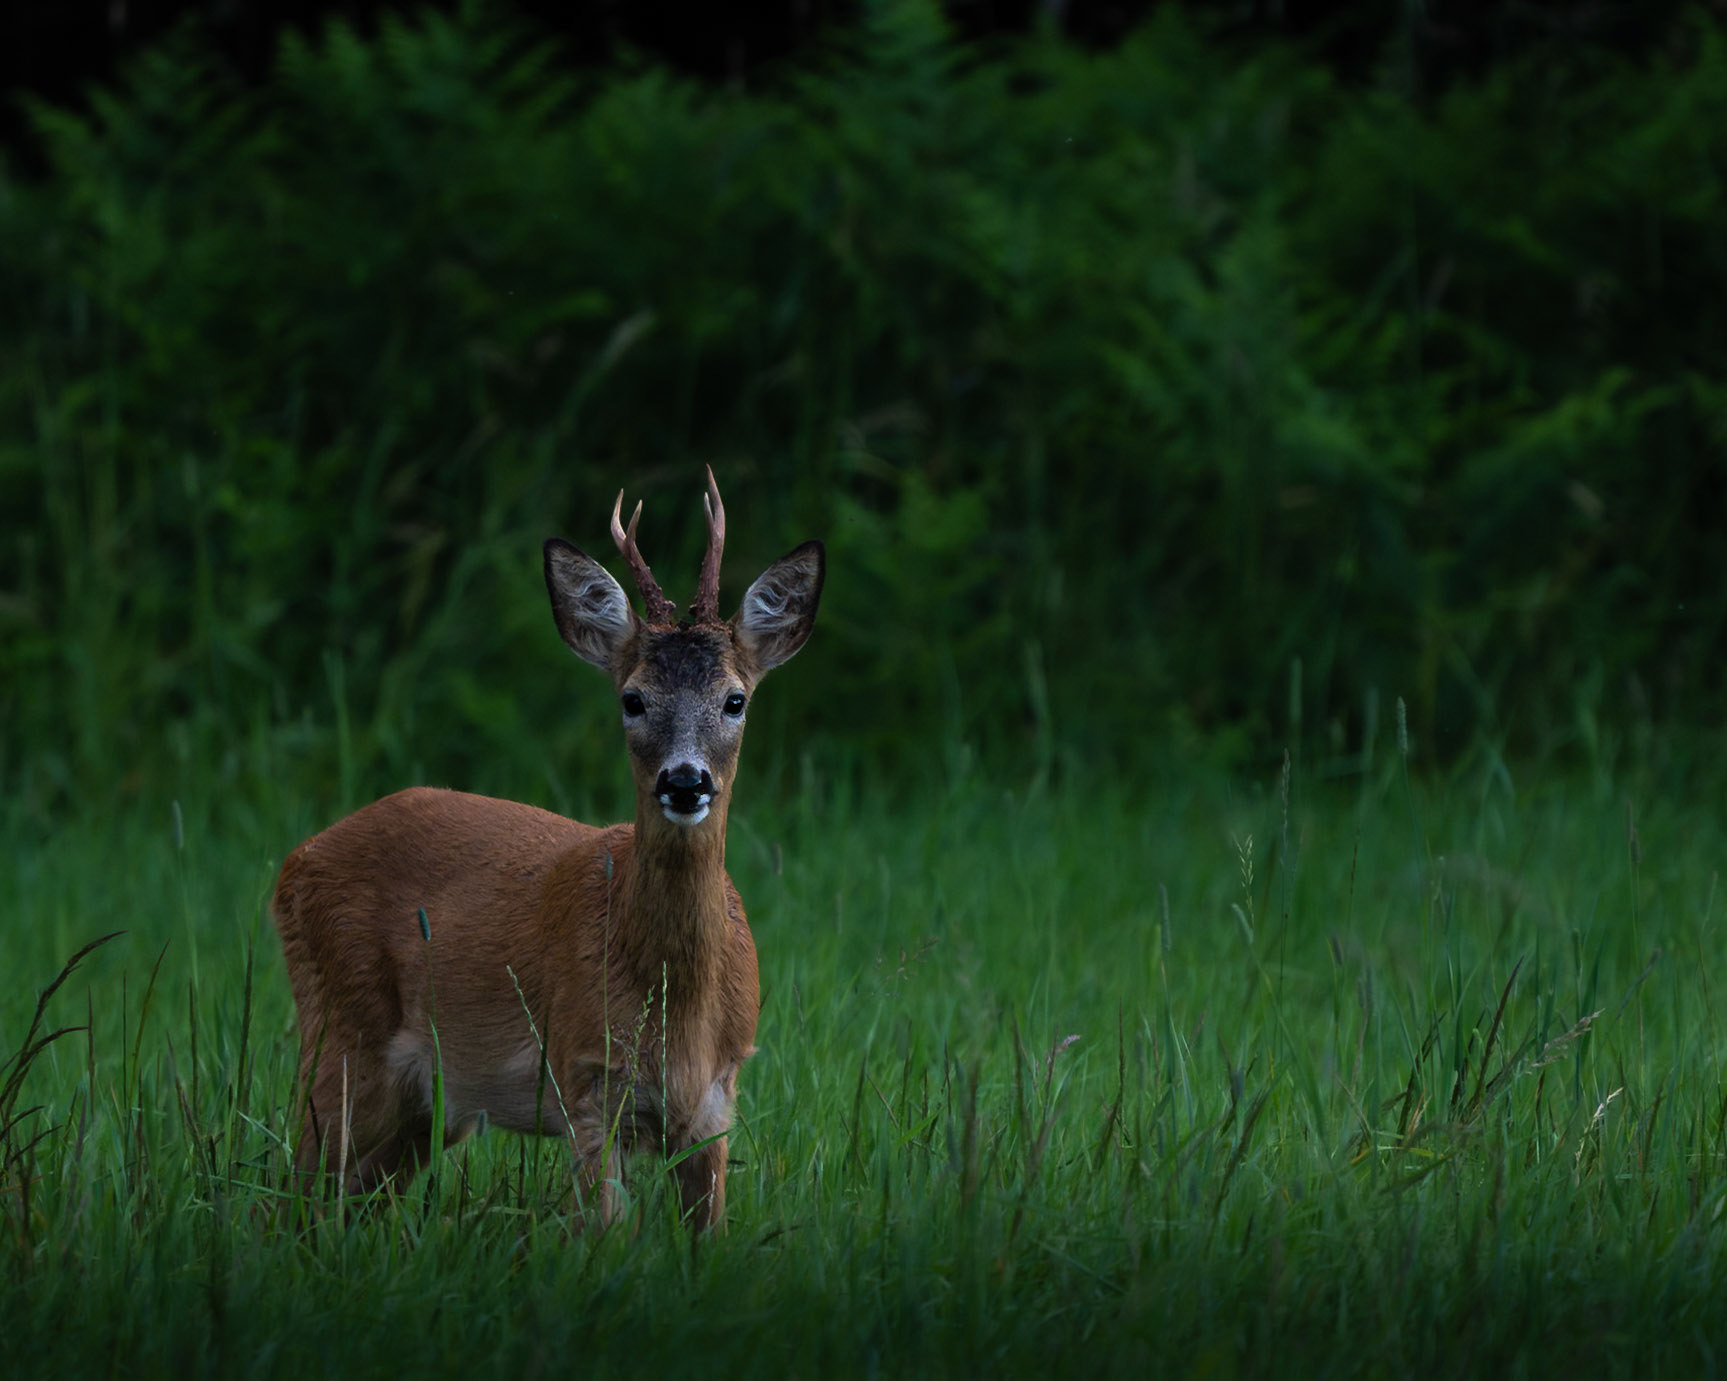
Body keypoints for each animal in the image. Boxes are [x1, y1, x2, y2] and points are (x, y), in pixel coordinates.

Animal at [271, 469, 823, 1231]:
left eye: (735, 699)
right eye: (632, 698)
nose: (684, 781)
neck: (675, 1007)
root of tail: (294, 862)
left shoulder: (717, 1100)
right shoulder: (584, 1077)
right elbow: (604, 1232)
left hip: (421, 1110)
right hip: (340, 1036)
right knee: (288, 1191)